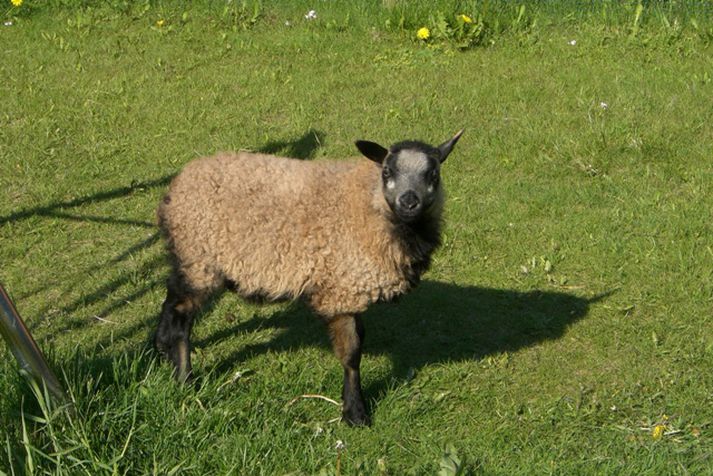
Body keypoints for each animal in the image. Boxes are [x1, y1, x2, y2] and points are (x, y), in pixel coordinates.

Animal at [155, 129, 464, 424]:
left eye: (433, 174)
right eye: (387, 172)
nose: (409, 202)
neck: (372, 208)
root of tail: (176, 188)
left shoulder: (349, 286)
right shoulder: (341, 291)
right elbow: (352, 354)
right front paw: (355, 412)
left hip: (189, 260)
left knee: (170, 302)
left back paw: (159, 348)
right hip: (199, 259)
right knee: (181, 317)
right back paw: (184, 378)